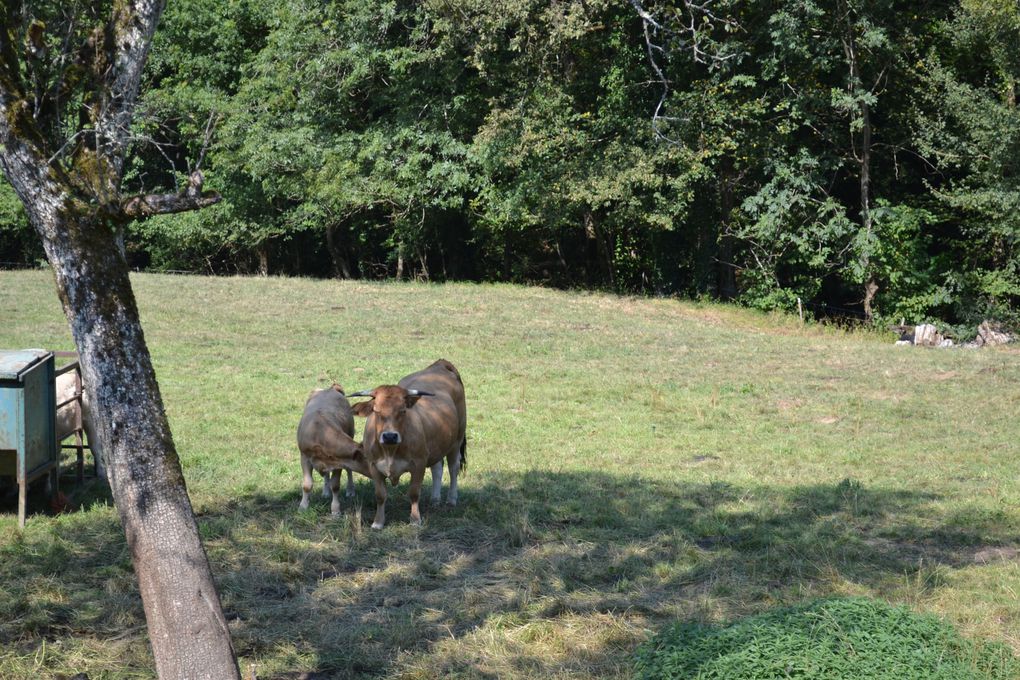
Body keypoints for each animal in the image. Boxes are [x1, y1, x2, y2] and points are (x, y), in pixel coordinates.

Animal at [295, 383, 367, 515]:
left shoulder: (340, 462)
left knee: (348, 471)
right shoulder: (304, 457)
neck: (320, 433)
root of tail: (331, 388)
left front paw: (335, 510)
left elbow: (336, 485)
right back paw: (325, 492)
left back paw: (350, 490)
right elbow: (307, 485)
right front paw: (303, 507)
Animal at [346, 358, 467, 530]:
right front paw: (378, 522)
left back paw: (451, 499)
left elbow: (414, 493)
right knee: (437, 468)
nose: (390, 436)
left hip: (457, 441)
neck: (390, 451)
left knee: (453, 468)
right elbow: (380, 495)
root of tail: (440, 364)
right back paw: (435, 499)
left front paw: (415, 519)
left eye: (403, 410)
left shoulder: (419, 463)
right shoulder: (373, 465)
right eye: (376, 411)